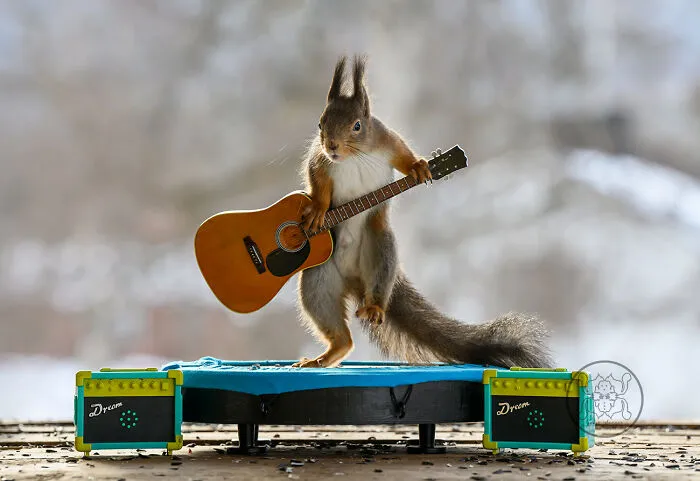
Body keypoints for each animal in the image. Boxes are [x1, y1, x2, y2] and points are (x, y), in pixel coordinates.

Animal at [293, 55, 552, 369]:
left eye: (357, 126)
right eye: (320, 123)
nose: (331, 145)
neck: (353, 156)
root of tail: (355, 280)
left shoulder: (387, 141)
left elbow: (403, 154)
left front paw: (419, 168)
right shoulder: (320, 161)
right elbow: (316, 180)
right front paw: (318, 208)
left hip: (380, 248)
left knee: (378, 280)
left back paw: (374, 308)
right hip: (318, 280)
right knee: (336, 328)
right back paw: (327, 355)